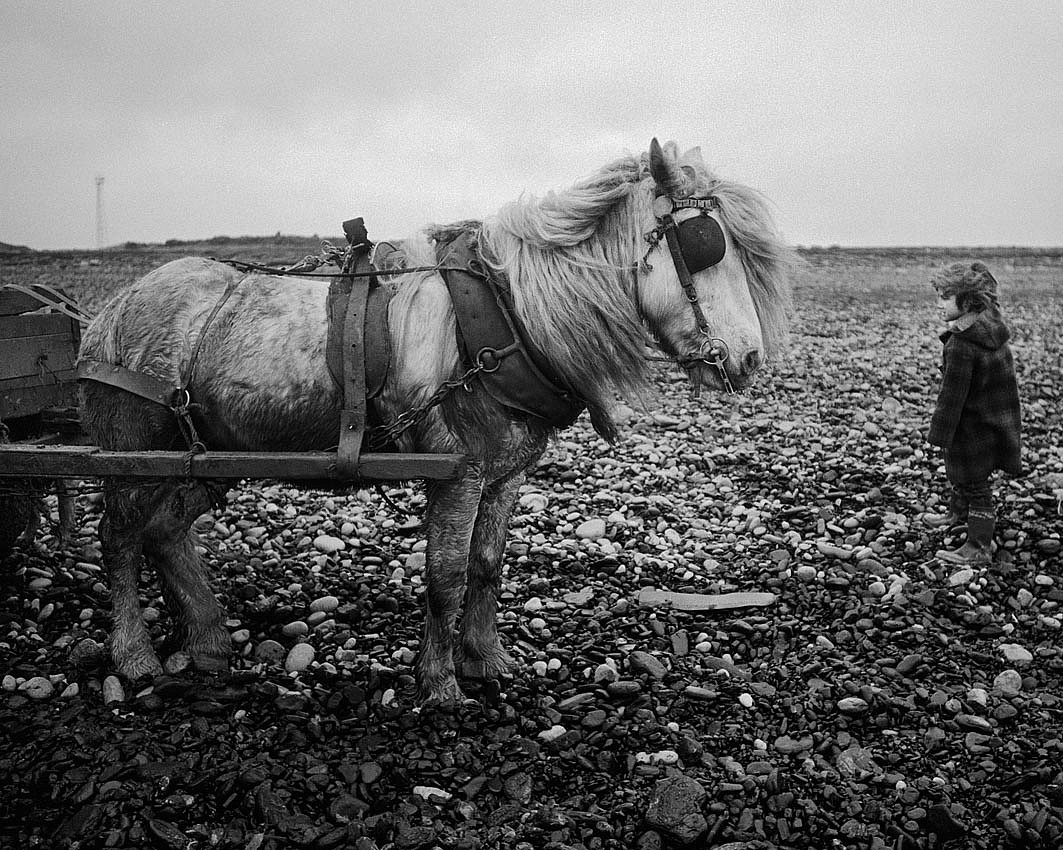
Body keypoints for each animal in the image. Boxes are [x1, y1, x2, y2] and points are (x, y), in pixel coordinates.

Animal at [78, 138, 790, 697]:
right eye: (705, 246)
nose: (750, 356)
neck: (512, 312)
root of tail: (112, 311)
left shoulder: (505, 473)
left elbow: (486, 566)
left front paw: (488, 661)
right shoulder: (460, 471)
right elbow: (445, 575)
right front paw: (441, 682)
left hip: (208, 457)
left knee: (166, 530)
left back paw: (206, 639)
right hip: (134, 455)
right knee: (119, 536)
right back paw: (135, 654)